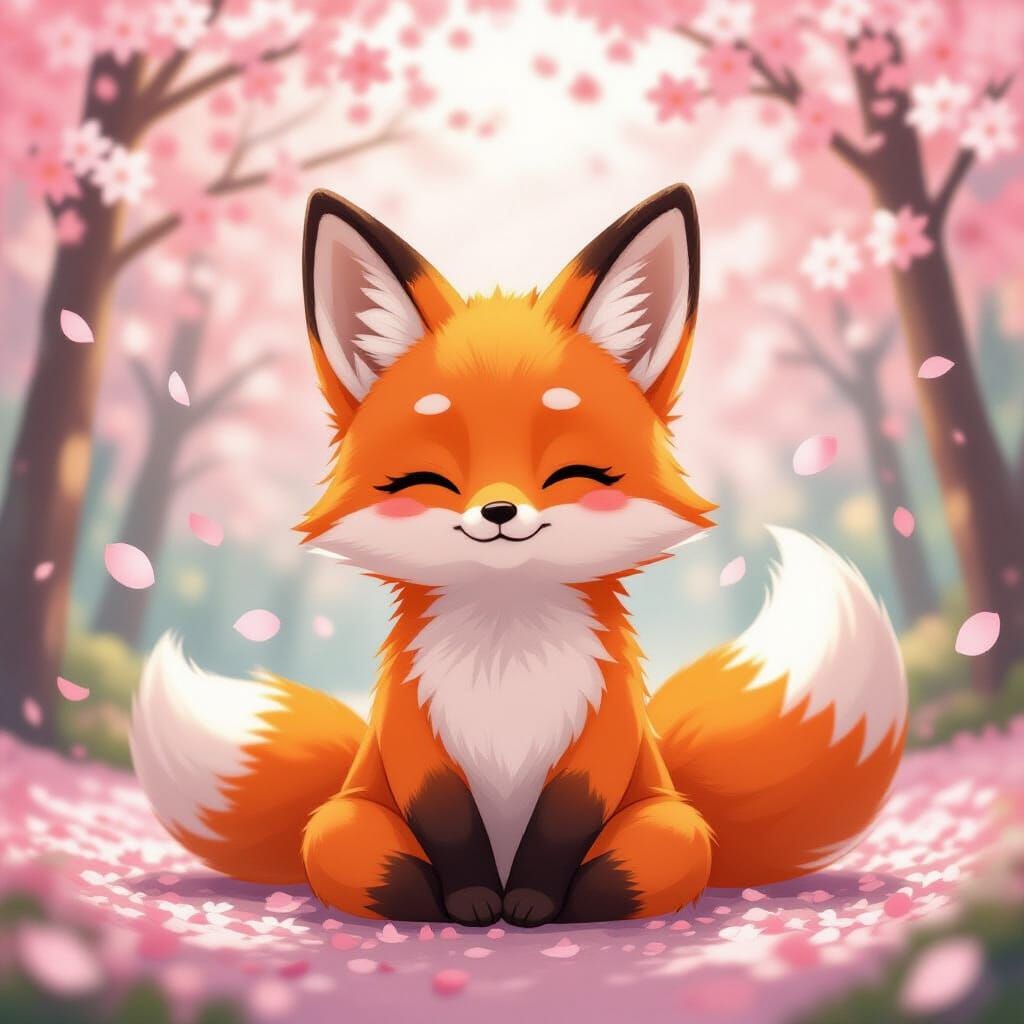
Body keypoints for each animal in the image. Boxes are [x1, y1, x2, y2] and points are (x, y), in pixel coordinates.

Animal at [130, 185, 907, 927]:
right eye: (424, 481)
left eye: (575, 474)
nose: (499, 512)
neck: (505, 652)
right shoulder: (412, 727)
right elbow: (448, 819)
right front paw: (476, 902)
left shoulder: (604, 728)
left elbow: (562, 822)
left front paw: (531, 903)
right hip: (342, 825)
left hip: (672, 827)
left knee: (626, 874)